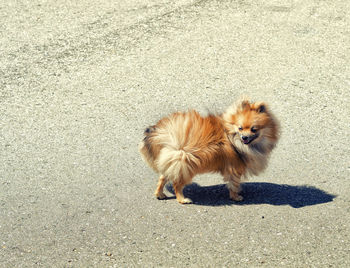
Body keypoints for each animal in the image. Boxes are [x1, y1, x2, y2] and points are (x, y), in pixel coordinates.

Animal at [138, 99, 280, 204]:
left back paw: (160, 194)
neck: (231, 137)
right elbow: (234, 184)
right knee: (176, 184)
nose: (244, 137)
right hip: (185, 161)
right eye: (240, 128)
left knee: (163, 177)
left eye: (253, 129)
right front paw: (236, 197)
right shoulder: (234, 168)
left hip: (173, 161)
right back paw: (183, 199)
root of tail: (161, 133)